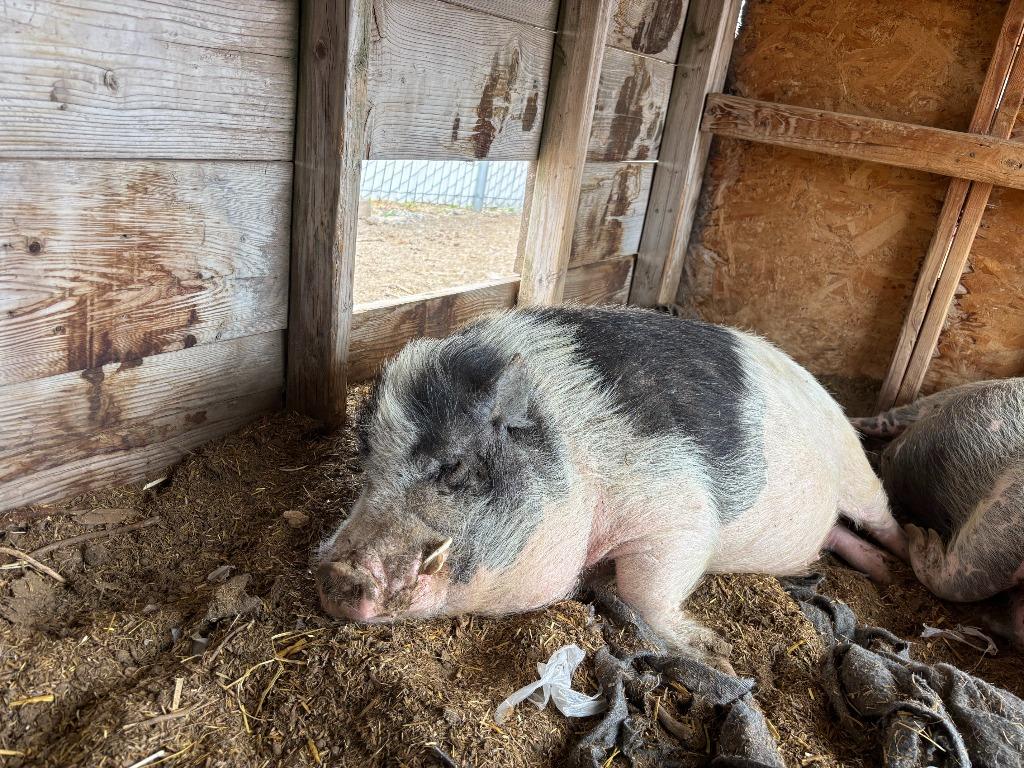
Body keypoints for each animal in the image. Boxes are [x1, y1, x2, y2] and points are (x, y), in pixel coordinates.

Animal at [317, 306, 907, 667]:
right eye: (367, 466)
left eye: (454, 466)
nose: (336, 573)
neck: (574, 457)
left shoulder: (678, 509)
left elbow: (644, 589)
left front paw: (718, 655)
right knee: (836, 535)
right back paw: (876, 570)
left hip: (858, 471)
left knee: (882, 517)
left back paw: (900, 568)